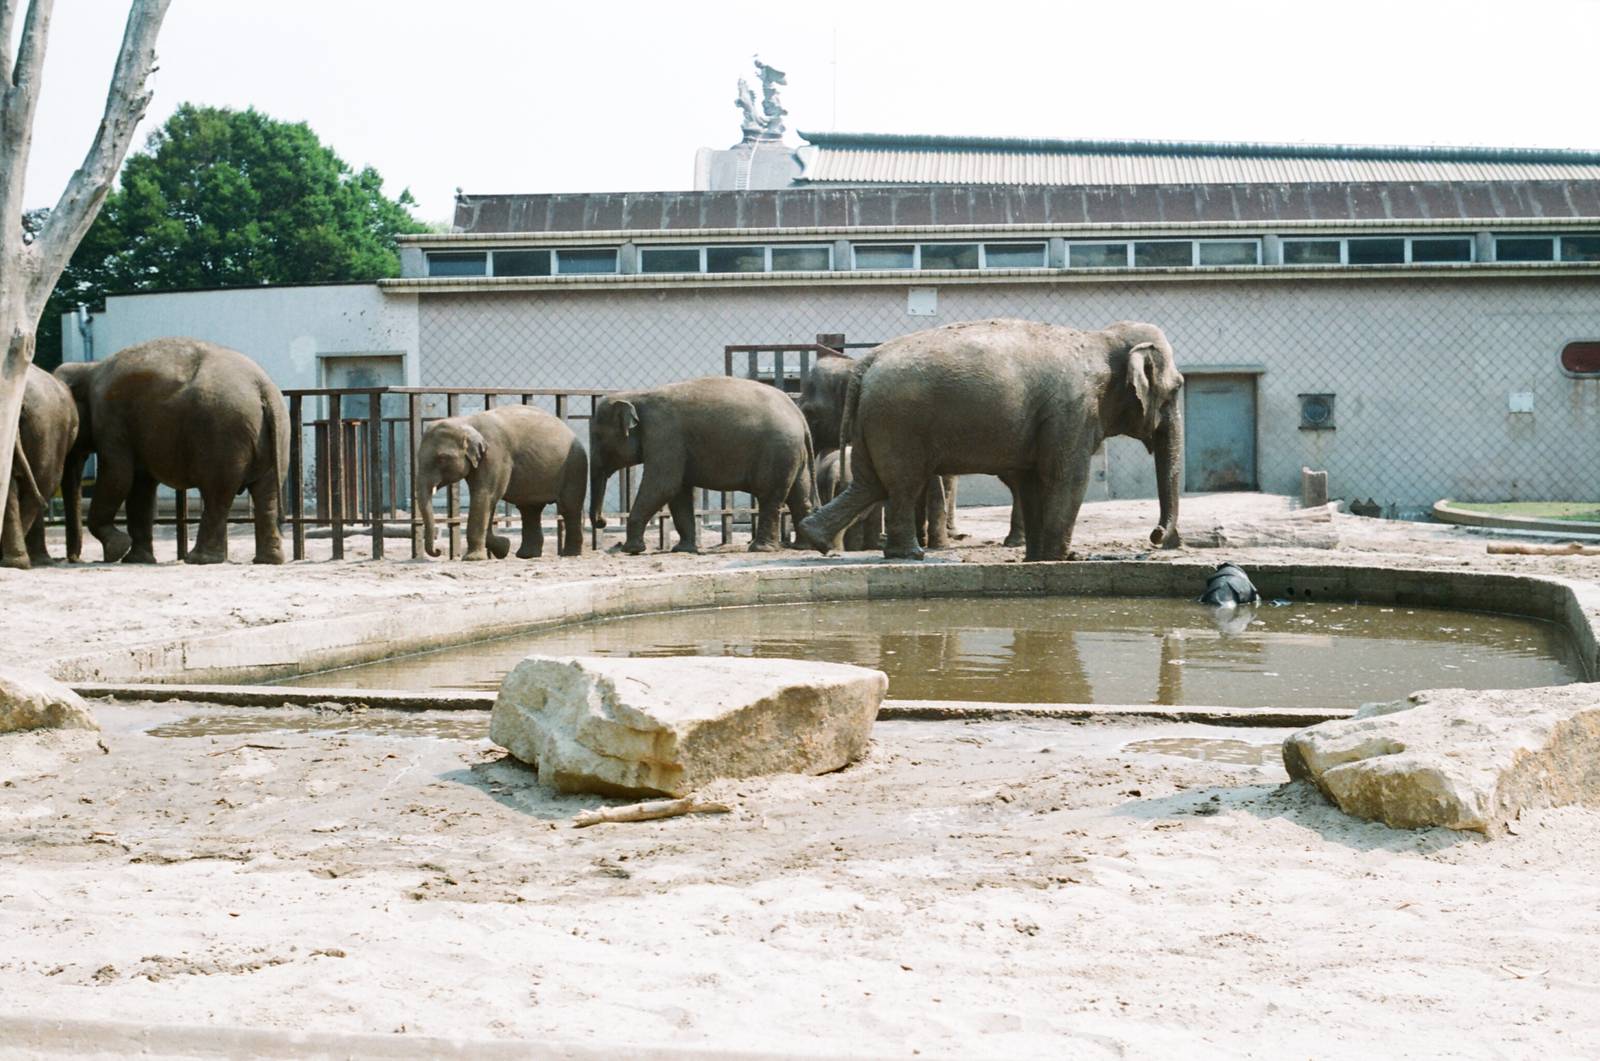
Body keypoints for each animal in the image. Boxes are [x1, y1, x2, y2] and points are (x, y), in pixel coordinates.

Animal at [55, 337, 290, 565]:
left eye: (71, 427)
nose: (74, 559)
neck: (87, 369)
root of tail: (262, 388)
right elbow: (140, 487)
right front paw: (137, 559)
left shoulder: (110, 420)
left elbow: (117, 477)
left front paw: (117, 549)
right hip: (276, 436)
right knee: (265, 493)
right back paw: (268, 560)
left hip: (224, 437)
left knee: (217, 494)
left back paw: (198, 559)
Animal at [416, 404, 587, 561]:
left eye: (441, 458)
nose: (438, 551)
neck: (466, 422)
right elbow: (487, 500)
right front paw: (503, 547)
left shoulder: (496, 455)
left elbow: (485, 495)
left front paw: (473, 558)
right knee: (530, 510)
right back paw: (527, 555)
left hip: (574, 467)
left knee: (569, 507)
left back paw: (570, 554)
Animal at [588, 375, 815, 554]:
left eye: (597, 436)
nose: (602, 521)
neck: (637, 395)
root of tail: (799, 416)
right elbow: (678, 492)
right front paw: (683, 550)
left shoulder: (664, 435)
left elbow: (662, 486)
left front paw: (632, 550)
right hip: (794, 454)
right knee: (799, 495)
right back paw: (803, 546)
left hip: (778, 452)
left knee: (769, 496)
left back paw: (761, 549)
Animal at [796, 318, 1184, 562]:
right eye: (1178, 388)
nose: (1154, 536)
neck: (1102, 339)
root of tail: (867, 362)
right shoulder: (1072, 410)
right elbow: (1067, 477)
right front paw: (1063, 558)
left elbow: (1031, 480)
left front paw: (1037, 559)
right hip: (897, 422)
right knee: (902, 484)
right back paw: (910, 554)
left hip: (873, 421)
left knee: (870, 483)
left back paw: (818, 539)